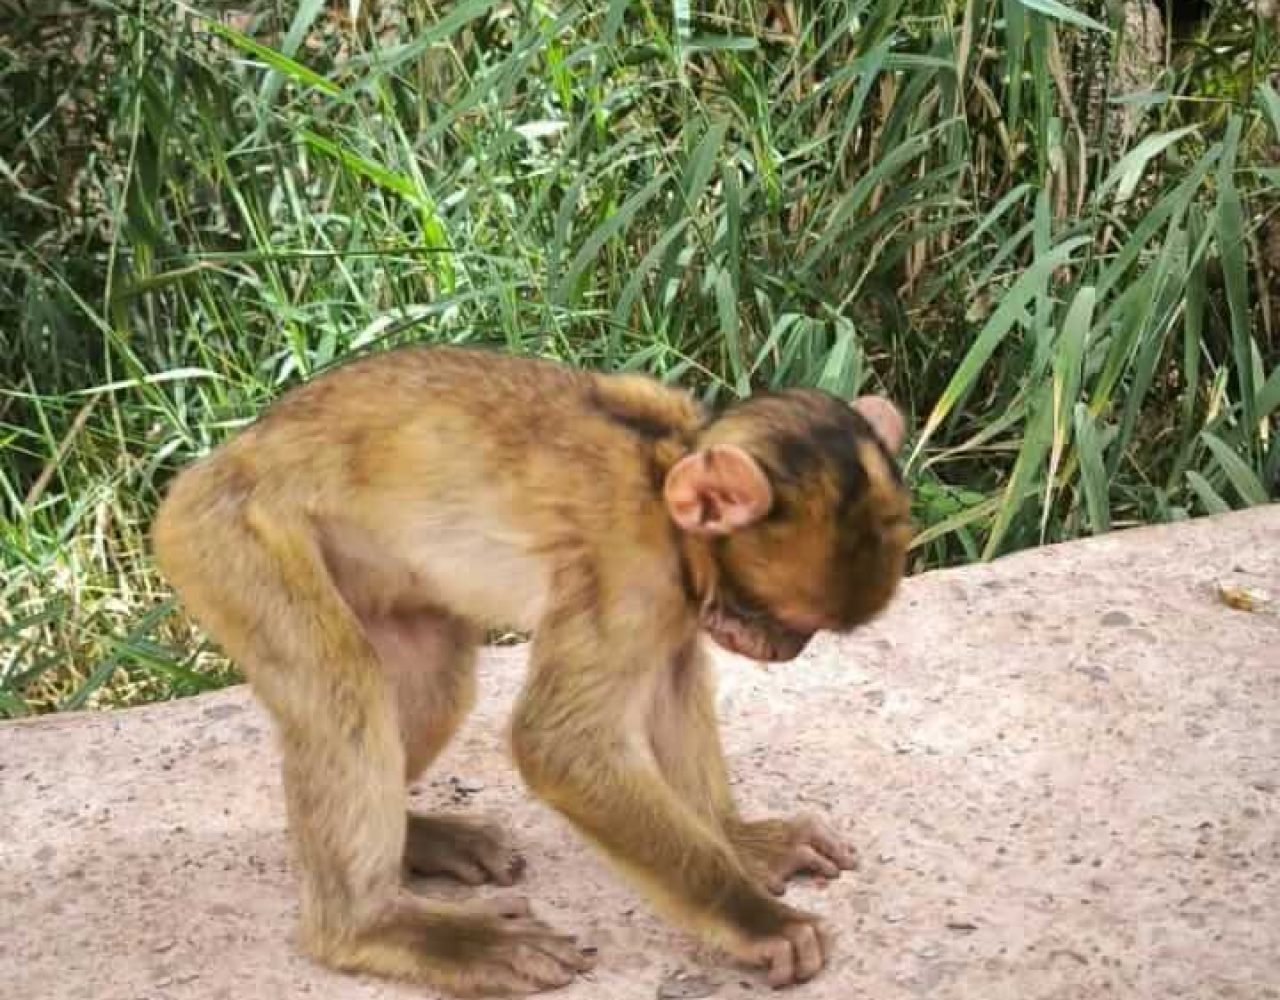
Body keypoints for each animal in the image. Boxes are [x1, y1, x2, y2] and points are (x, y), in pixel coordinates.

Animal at [151, 344, 912, 996]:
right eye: (778, 615)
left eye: (800, 629)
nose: (784, 650)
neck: (661, 470)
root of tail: (211, 467)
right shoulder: (630, 573)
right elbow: (559, 746)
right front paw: (754, 918)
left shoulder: (678, 603)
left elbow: (670, 683)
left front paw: (738, 840)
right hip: (229, 540)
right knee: (345, 687)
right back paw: (375, 929)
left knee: (434, 678)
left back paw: (414, 836)